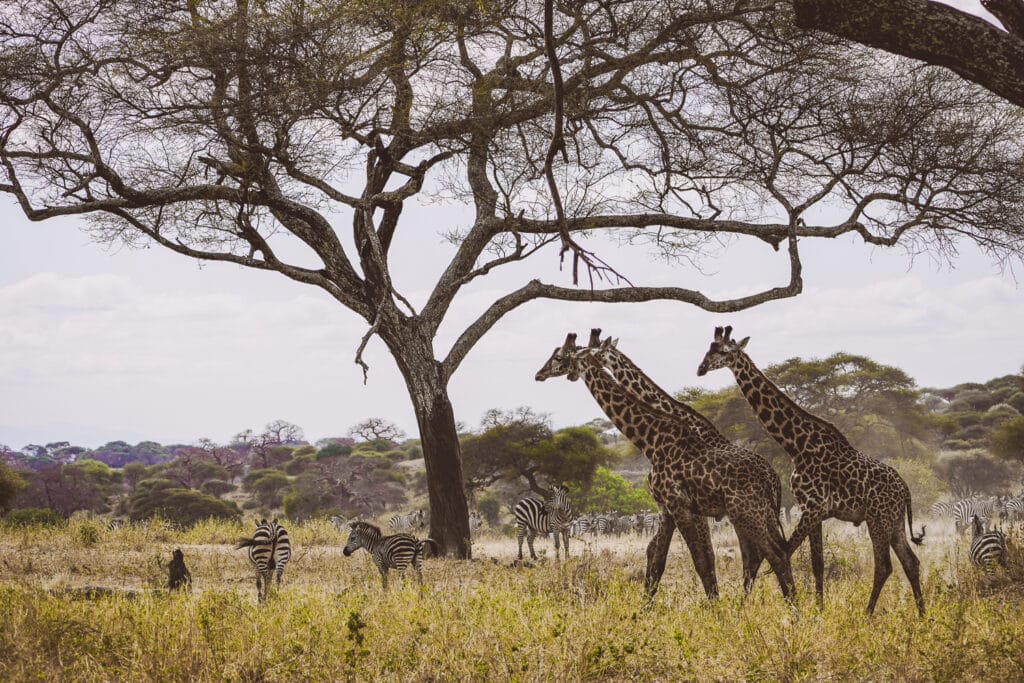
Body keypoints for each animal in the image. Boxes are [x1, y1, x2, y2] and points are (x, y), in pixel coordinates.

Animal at [540, 333, 794, 602]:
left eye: (560, 357)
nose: (539, 374)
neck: (650, 439)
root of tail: (772, 478)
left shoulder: (681, 506)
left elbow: (701, 559)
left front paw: (715, 608)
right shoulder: (666, 508)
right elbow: (658, 559)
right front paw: (644, 607)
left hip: (745, 512)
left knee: (770, 554)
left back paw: (788, 607)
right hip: (760, 513)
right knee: (771, 552)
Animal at [696, 323, 929, 618]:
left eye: (724, 351)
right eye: (708, 348)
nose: (701, 368)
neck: (796, 445)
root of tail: (905, 490)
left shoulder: (813, 507)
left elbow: (784, 552)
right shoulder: (814, 510)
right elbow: (816, 563)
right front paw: (819, 609)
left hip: (879, 519)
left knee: (885, 566)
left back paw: (867, 614)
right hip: (894, 521)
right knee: (911, 562)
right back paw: (922, 614)